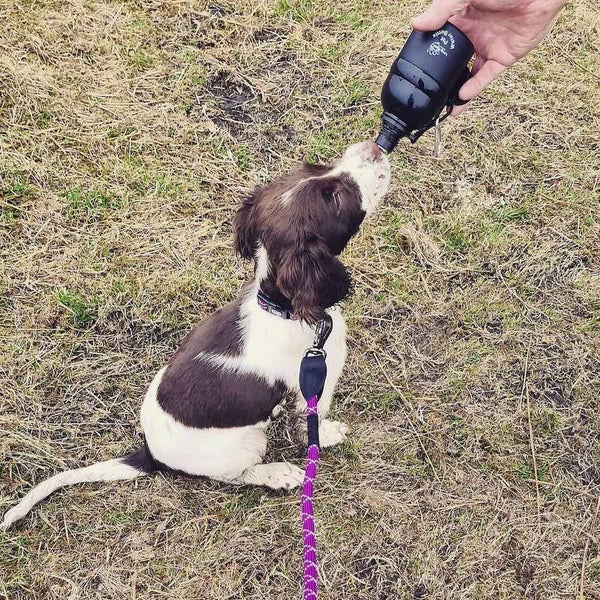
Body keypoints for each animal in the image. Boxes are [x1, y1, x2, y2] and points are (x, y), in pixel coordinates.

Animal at [1, 138, 390, 528]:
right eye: (336, 197)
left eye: (313, 166)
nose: (373, 147)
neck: (284, 309)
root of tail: (150, 452)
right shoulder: (317, 382)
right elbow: (312, 421)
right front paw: (325, 436)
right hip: (245, 445)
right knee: (233, 476)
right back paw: (275, 473)